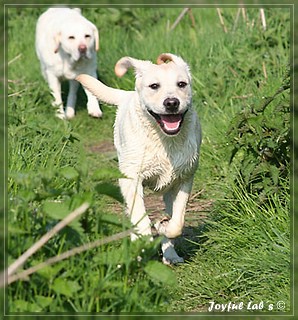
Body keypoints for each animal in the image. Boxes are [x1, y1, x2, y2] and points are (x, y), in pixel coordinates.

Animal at [77, 53, 201, 264]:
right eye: (154, 86)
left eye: (182, 84)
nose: (171, 103)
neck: (165, 141)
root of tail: (127, 94)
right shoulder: (131, 179)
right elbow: (140, 218)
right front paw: (143, 239)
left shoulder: (184, 179)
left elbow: (177, 222)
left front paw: (163, 226)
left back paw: (170, 254)